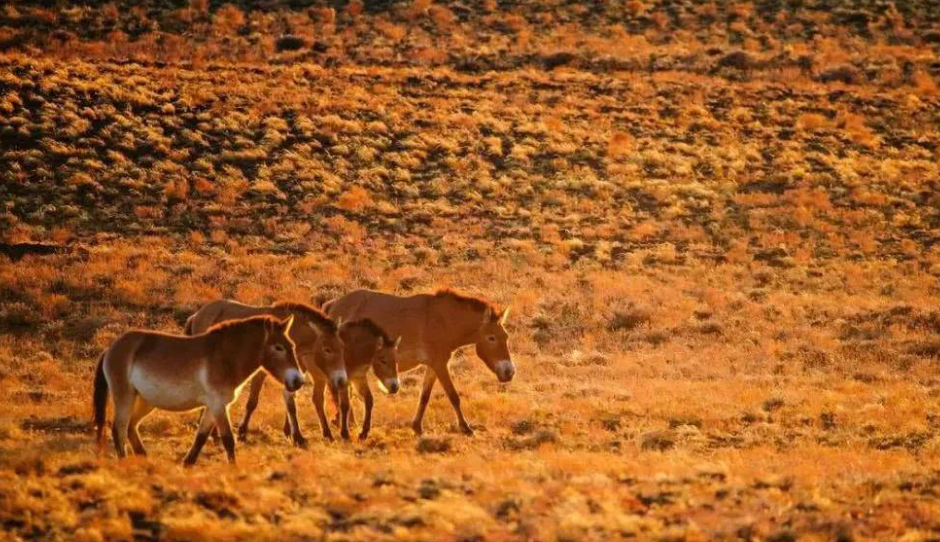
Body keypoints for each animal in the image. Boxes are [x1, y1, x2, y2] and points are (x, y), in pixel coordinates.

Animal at [92, 314, 302, 468]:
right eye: (279, 347)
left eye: (292, 346)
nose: (298, 381)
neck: (225, 357)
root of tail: (111, 348)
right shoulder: (218, 406)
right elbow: (228, 439)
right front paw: (235, 471)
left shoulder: (214, 407)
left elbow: (201, 437)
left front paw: (187, 464)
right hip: (124, 396)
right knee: (119, 429)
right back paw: (125, 463)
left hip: (145, 401)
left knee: (131, 427)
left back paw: (144, 459)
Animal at [184, 300, 346, 448]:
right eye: (327, 349)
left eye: (341, 347)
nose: (341, 379)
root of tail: (197, 314)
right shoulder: (261, 372)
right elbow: (252, 402)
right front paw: (242, 433)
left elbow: (290, 402)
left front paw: (296, 436)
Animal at [324, 288, 516, 438]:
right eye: (491, 338)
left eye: (506, 336)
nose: (509, 372)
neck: (444, 320)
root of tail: (333, 304)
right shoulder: (440, 364)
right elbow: (453, 396)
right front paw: (466, 428)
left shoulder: (433, 366)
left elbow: (424, 396)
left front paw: (417, 427)